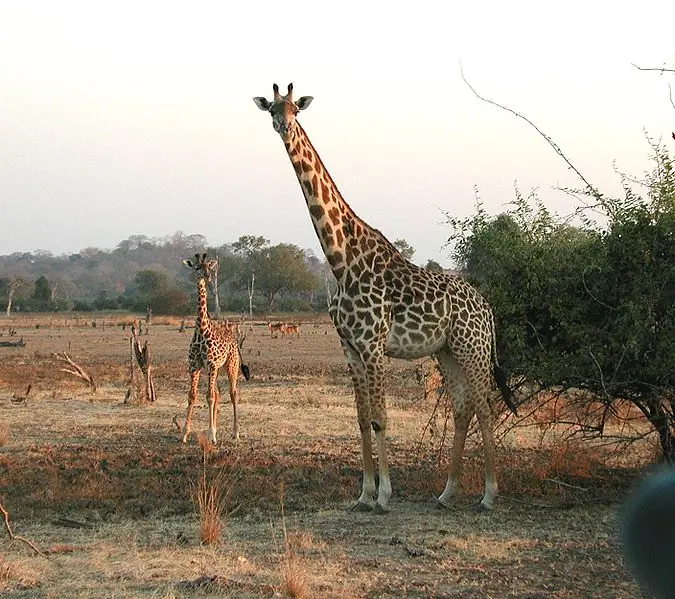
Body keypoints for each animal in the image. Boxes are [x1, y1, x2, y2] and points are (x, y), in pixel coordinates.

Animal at [182, 253, 251, 444]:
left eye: (209, 267)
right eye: (197, 267)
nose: (208, 277)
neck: (201, 329)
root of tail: (234, 340)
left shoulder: (211, 365)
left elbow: (209, 396)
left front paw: (211, 434)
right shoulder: (194, 366)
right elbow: (192, 396)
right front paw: (184, 433)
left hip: (231, 365)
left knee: (233, 392)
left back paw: (235, 432)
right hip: (217, 369)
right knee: (219, 392)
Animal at [253, 83, 518, 514]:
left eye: (297, 110)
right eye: (273, 110)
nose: (284, 126)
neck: (341, 260)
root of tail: (487, 307)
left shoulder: (374, 346)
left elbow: (381, 418)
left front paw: (383, 496)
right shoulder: (350, 348)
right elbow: (362, 420)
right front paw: (362, 495)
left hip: (473, 349)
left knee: (485, 408)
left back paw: (489, 495)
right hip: (446, 352)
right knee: (462, 410)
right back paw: (446, 492)